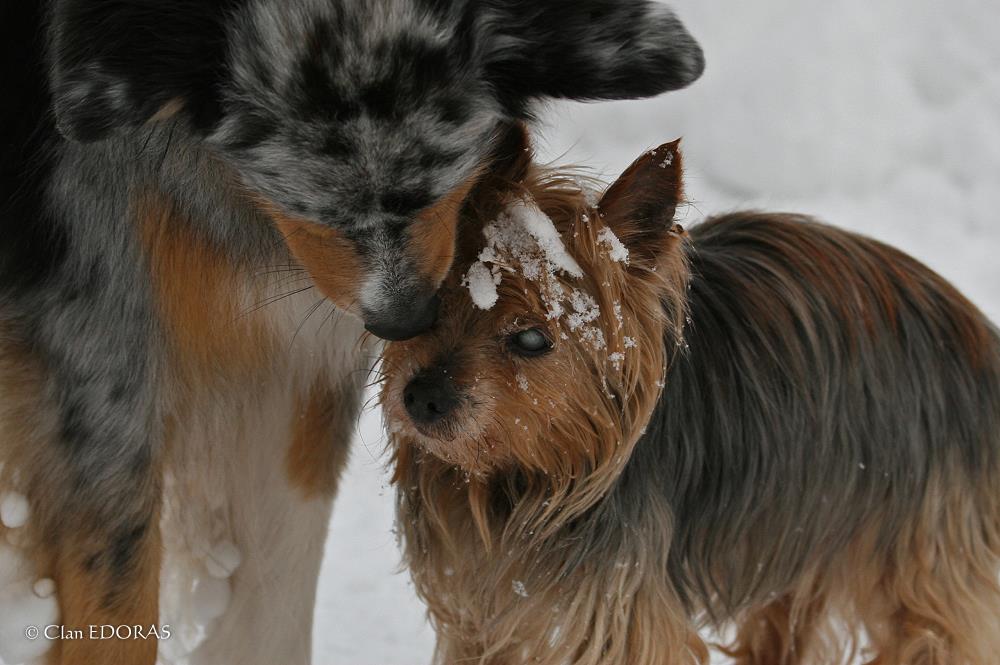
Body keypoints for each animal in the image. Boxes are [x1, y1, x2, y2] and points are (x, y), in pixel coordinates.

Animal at [378, 131, 1000, 664]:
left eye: (533, 338)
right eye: (433, 307)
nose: (422, 398)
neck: (522, 475)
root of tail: (978, 335)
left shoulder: (620, 613)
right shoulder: (476, 612)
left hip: (923, 546)